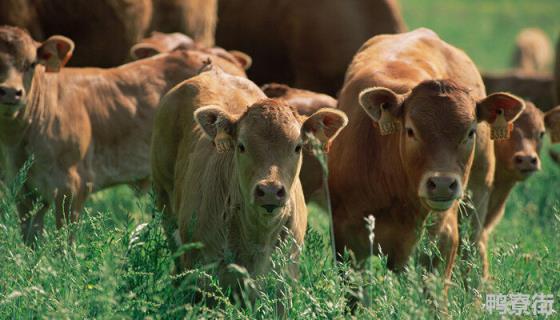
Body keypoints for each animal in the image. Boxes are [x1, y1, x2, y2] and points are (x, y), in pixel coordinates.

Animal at [328, 28, 524, 282]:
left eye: (470, 132)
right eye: (411, 130)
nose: (441, 184)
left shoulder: (443, 241)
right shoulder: (347, 240)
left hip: (477, 196)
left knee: (474, 251)